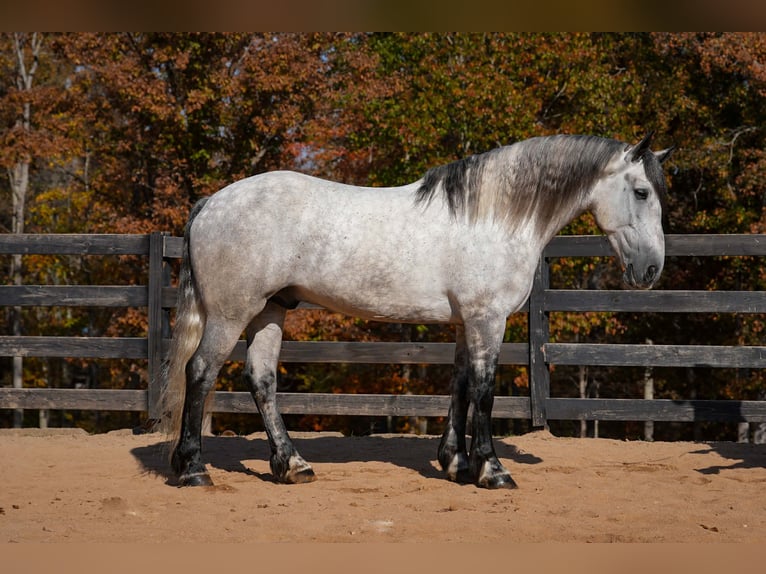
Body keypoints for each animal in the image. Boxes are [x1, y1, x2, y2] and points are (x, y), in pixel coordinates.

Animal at [161, 132, 673, 489]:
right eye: (642, 192)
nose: (651, 269)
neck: (492, 218)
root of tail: (212, 203)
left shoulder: (466, 322)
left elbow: (460, 385)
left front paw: (456, 462)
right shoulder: (487, 320)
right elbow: (484, 390)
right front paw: (492, 470)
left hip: (270, 310)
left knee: (261, 379)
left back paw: (293, 465)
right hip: (231, 313)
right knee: (200, 372)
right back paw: (193, 470)